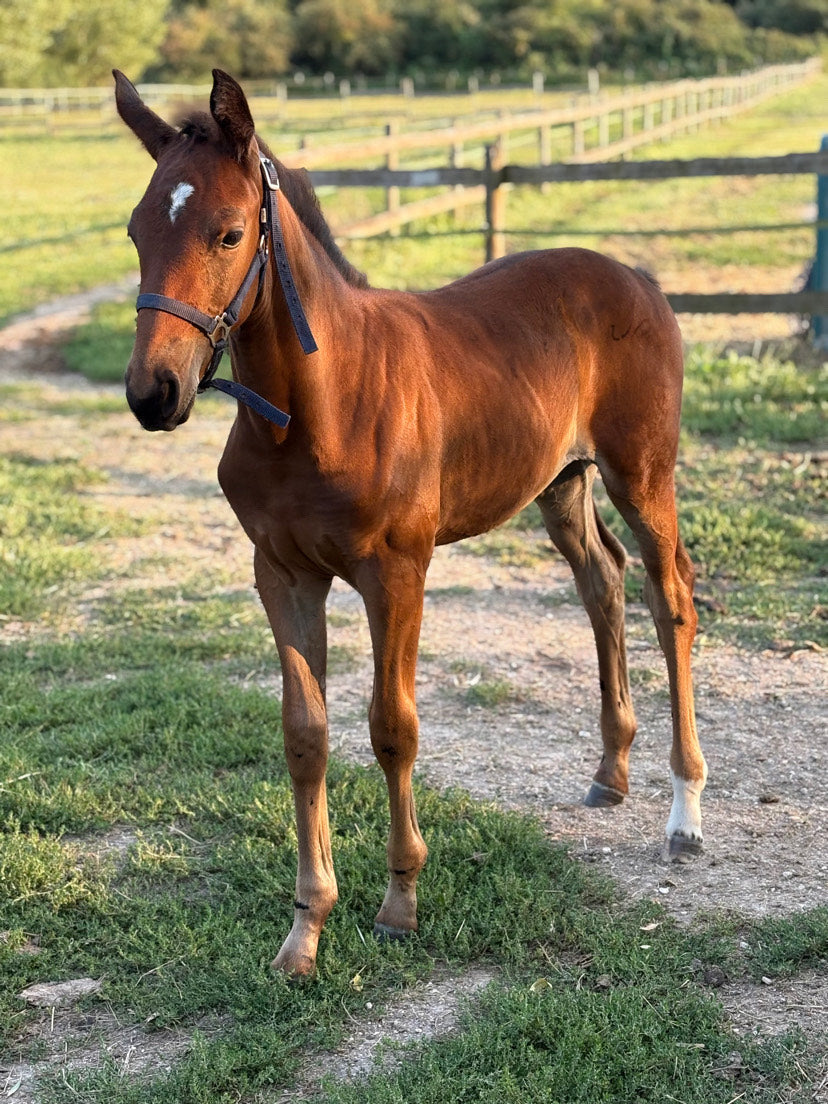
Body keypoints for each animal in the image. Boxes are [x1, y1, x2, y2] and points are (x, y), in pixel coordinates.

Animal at [113, 68, 707, 977]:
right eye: (137, 230)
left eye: (227, 233)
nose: (154, 393)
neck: (317, 408)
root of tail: (636, 275)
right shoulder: (283, 574)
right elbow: (305, 735)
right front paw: (305, 928)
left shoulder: (397, 572)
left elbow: (393, 728)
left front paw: (399, 903)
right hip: (560, 483)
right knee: (602, 585)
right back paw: (611, 771)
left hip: (642, 474)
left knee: (668, 596)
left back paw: (685, 814)